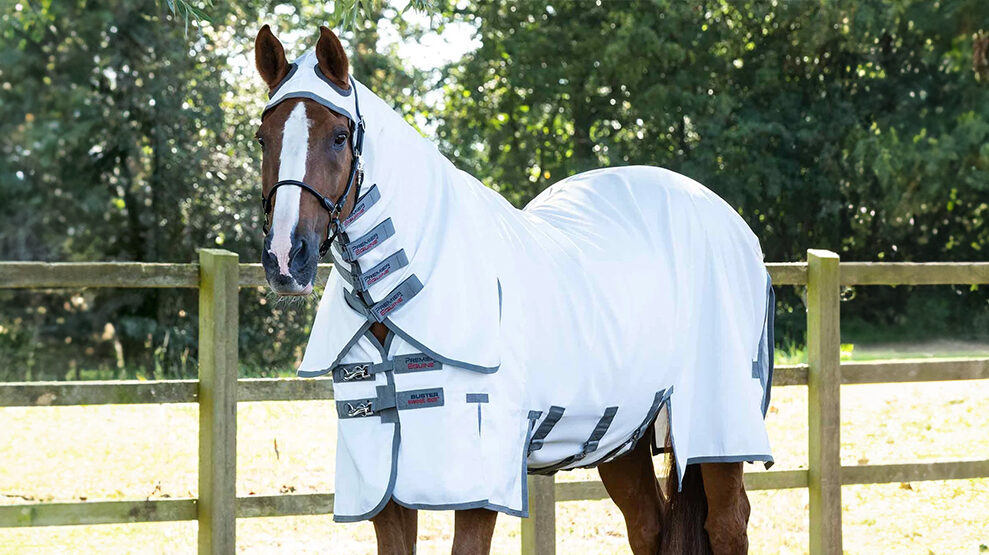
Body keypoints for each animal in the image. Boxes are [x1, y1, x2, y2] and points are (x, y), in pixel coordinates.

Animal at [253, 24, 775, 555]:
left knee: (728, 524)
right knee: (649, 526)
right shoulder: (385, 483)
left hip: (717, 430)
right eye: (262, 137)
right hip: (623, 438)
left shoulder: (477, 481)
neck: (403, 295)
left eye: (339, 137)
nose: (286, 258)